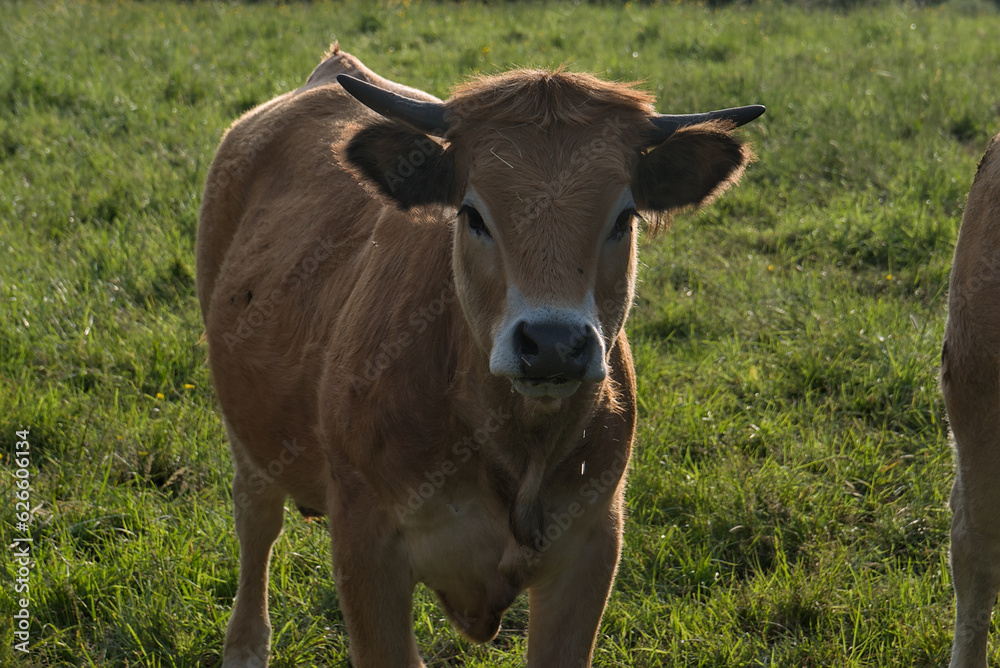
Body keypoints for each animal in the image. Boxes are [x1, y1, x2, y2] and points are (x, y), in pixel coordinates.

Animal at [197, 44, 764, 664]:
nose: (552, 345)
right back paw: (245, 645)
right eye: (472, 214)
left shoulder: (594, 543)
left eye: (623, 218)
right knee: (256, 520)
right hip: (243, 425)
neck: (516, 449)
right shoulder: (365, 546)